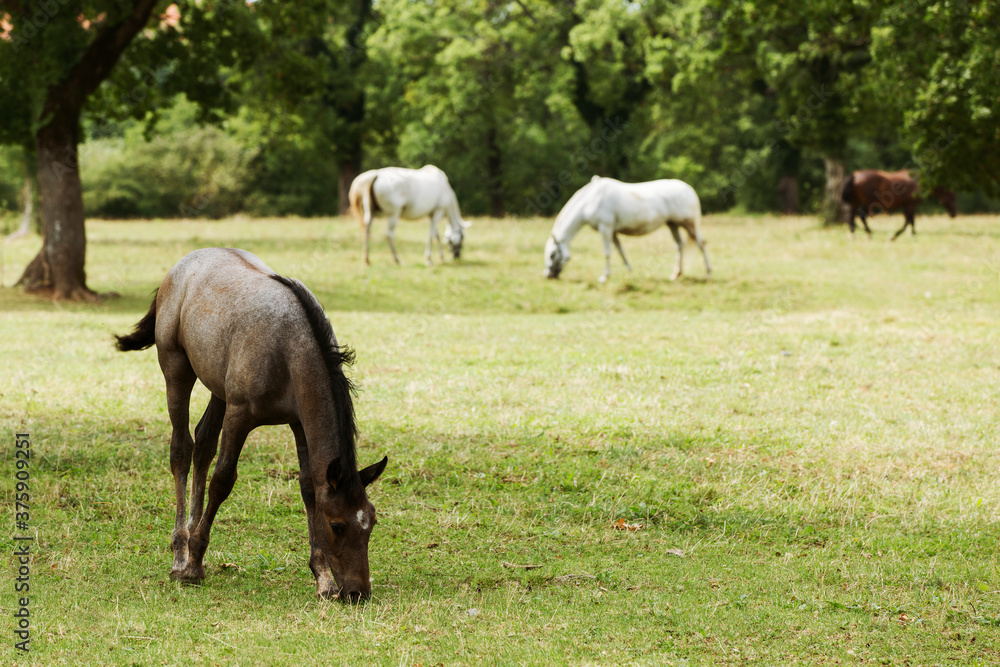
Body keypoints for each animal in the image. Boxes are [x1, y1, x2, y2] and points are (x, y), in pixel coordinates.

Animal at [114, 248, 386, 604]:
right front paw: (194, 565)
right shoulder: (240, 415)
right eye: (337, 525)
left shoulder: (299, 422)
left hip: (218, 388)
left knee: (203, 444)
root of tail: (180, 267)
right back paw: (180, 553)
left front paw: (322, 578)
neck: (289, 347)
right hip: (176, 371)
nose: (358, 592)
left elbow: (309, 487)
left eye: (371, 522)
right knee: (182, 450)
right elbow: (222, 480)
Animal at [540, 177, 712, 282]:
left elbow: (607, 253)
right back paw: (676, 274)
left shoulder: (605, 228)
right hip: (673, 224)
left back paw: (708, 273)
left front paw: (604, 277)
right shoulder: (613, 232)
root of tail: (689, 189)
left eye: (552, 254)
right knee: (679, 245)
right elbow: (620, 251)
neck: (590, 201)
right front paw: (629, 271)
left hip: (689, 224)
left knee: (701, 243)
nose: (548, 275)